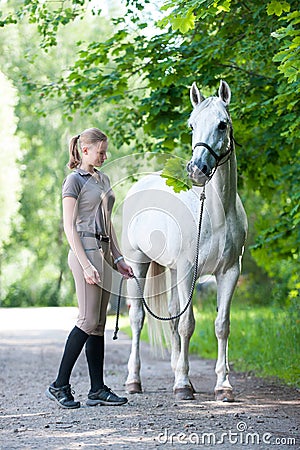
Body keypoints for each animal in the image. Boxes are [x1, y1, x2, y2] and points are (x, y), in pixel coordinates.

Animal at [120, 80, 247, 400]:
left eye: (222, 124)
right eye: (192, 125)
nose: (197, 169)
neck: (216, 213)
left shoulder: (230, 272)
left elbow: (221, 325)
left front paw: (223, 386)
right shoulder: (190, 269)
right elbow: (189, 325)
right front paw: (181, 386)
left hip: (173, 271)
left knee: (172, 317)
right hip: (138, 265)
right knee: (138, 318)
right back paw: (134, 380)